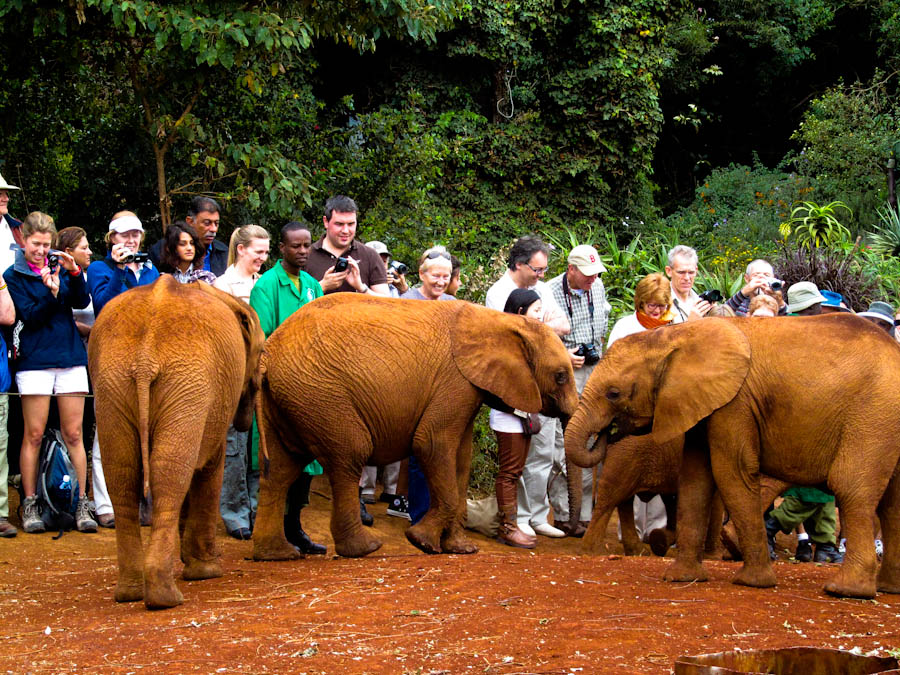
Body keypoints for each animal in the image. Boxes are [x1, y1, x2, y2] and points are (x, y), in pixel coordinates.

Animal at [89, 276, 265, 609]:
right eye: (262, 352)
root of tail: (144, 359)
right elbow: (210, 467)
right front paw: (205, 572)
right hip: (186, 384)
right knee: (170, 475)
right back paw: (166, 597)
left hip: (112, 384)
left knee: (124, 476)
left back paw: (132, 592)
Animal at [251, 294, 579, 560]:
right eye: (561, 376)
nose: (570, 529)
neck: (501, 320)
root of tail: (268, 352)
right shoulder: (455, 381)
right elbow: (432, 444)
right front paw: (421, 542)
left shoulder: (467, 390)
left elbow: (461, 460)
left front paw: (461, 549)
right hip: (321, 394)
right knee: (350, 455)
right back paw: (364, 549)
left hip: (289, 397)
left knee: (279, 470)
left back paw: (276, 554)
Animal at [564, 314, 900, 599]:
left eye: (613, 394)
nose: (607, 432)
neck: (675, 336)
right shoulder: (706, 403)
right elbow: (696, 479)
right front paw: (682, 578)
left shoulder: (734, 404)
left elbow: (730, 474)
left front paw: (751, 582)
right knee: (888, 503)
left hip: (872, 416)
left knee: (853, 490)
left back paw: (847, 591)